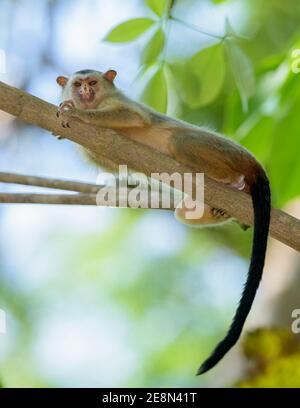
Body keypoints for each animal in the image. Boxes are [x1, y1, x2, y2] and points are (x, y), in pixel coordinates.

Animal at [55, 68, 270, 374]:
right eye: (77, 84)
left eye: (93, 82)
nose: (85, 92)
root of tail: (250, 160)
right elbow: (108, 161)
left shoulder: (119, 103)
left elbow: (133, 117)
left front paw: (77, 113)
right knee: (183, 212)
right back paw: (222, 208)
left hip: (222, 150)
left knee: (181, 142)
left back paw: (231, 179)